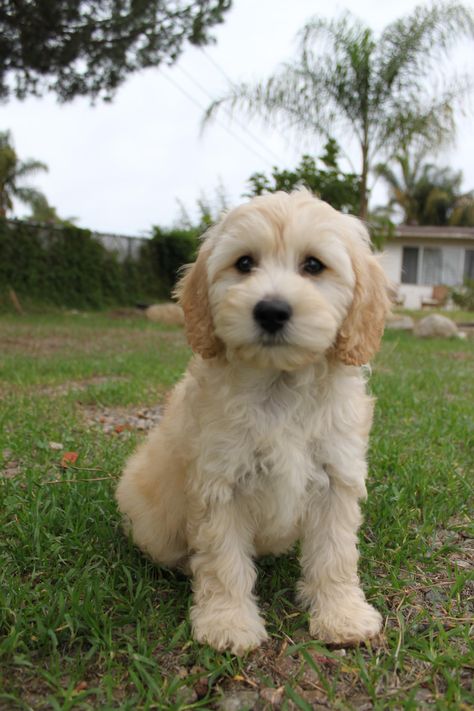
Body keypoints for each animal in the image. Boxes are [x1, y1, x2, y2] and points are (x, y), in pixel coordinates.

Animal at [116, 189, 390, 656]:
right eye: (244, 263)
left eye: (313, 265)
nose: (272, 311)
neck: (280, 384)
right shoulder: (220, 483)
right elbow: (223, 561)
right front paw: (228, 622)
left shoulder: (336, 476)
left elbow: (335, 554)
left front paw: (342, 615)